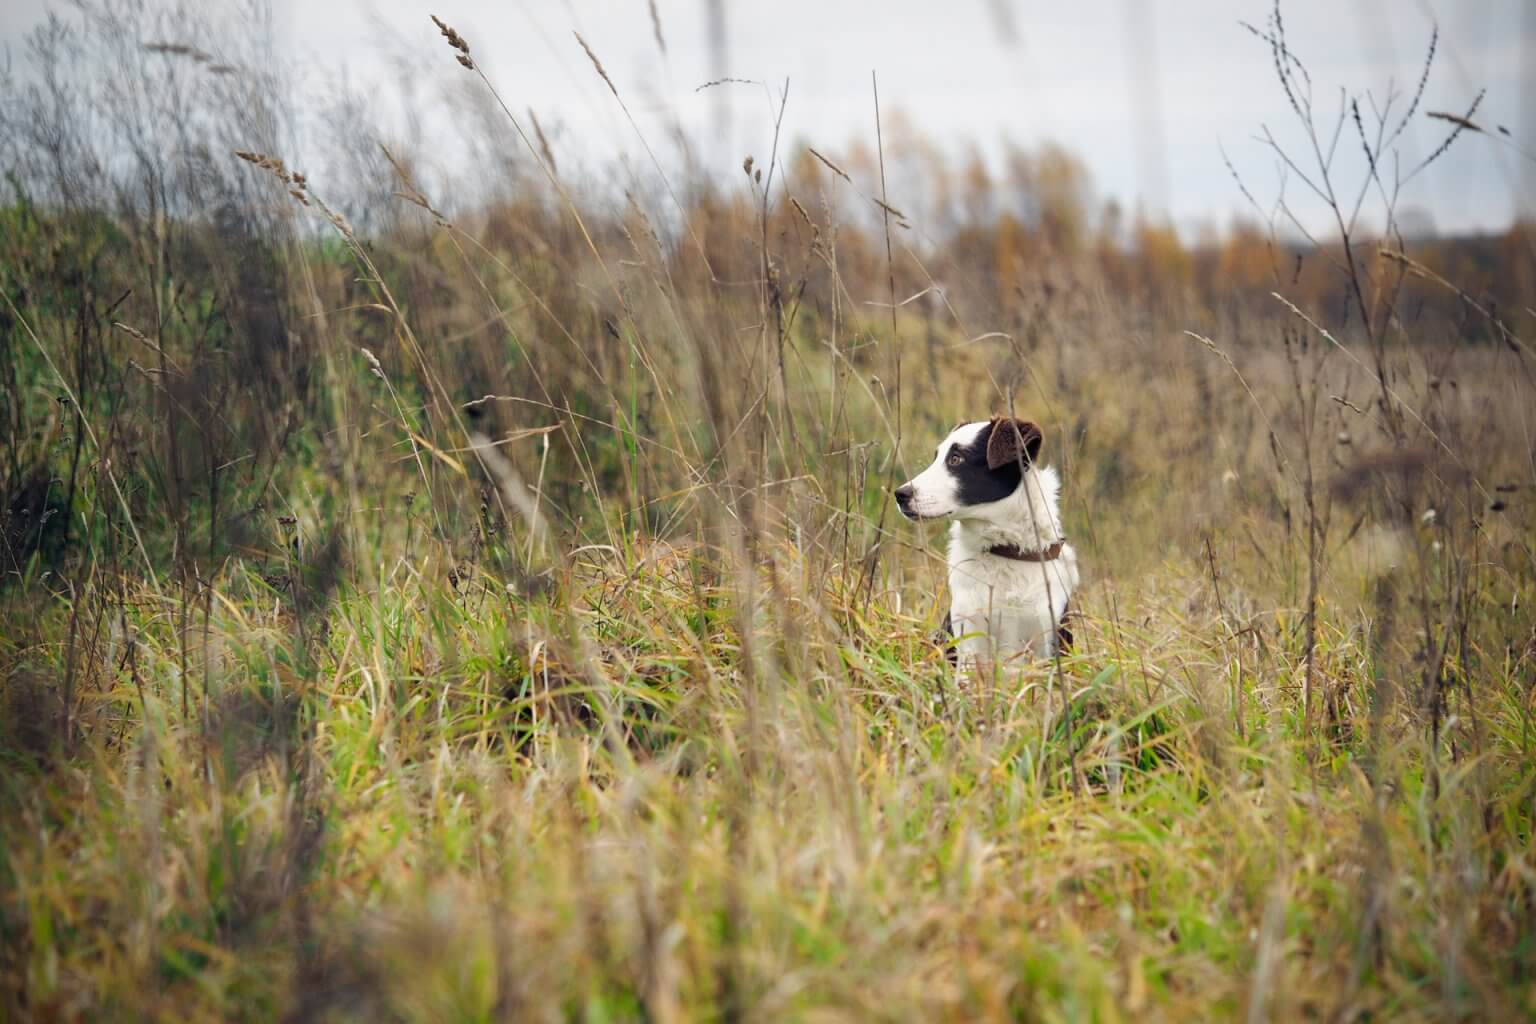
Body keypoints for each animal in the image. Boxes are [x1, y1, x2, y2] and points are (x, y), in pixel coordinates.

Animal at [897, 417, 1075, 669]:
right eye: (936, 458)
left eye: (956, 459)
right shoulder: (968, 635)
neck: (1005, 550)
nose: (900, 494)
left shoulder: (1048, 637)